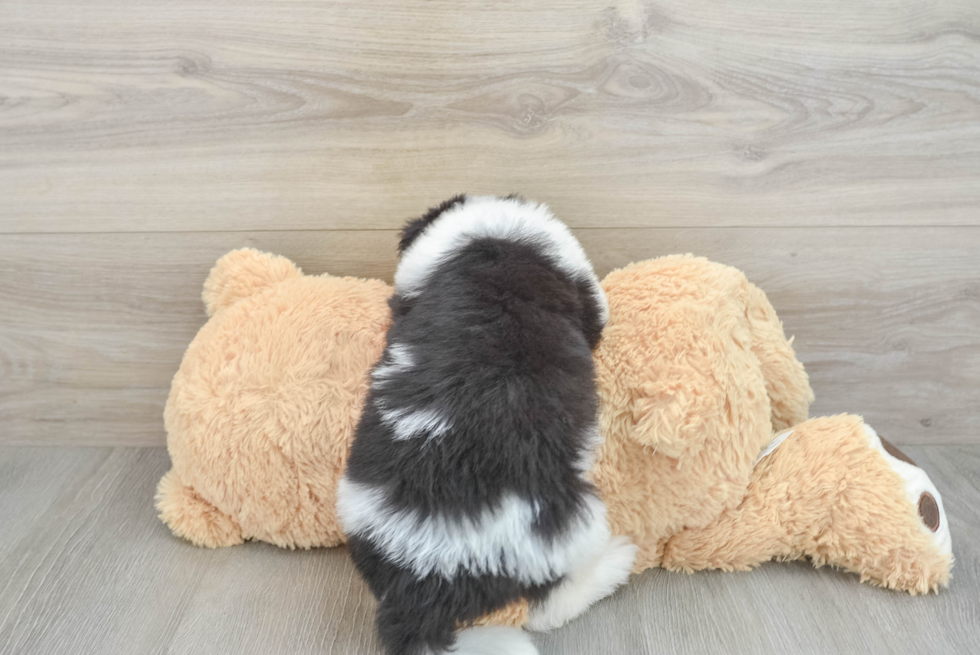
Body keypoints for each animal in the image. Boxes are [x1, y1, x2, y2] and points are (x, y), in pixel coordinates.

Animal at [334, 195, 636, 655]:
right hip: (569, 525)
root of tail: (424, 579)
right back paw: (613, 566)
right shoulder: (582, 287)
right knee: (550, 607)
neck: (487, 241)